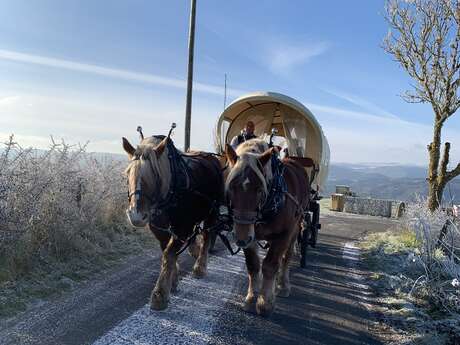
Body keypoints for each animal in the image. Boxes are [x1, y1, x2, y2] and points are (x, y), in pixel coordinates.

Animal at [121, 132, 224, 310]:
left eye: (155, 175)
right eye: (128, 174)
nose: (136, 216)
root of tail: (211, 157)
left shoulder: (182, 227)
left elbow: (169, 253)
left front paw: (160, 294)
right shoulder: (158, 227)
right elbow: (167, 250)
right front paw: (173, 280)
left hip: (212, 211)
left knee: (206, 235)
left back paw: (200, 266)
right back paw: (194, 250)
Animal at [226, 138, 310, 316]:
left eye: (259, 189)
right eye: (231, 187)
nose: (240, 239)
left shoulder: (283, 234)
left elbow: (270, 265)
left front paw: (265, 302)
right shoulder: (250, 235)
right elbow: (253, 265)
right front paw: (251, 298)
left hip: (296, 226)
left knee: (286, 257)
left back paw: (283, 285)